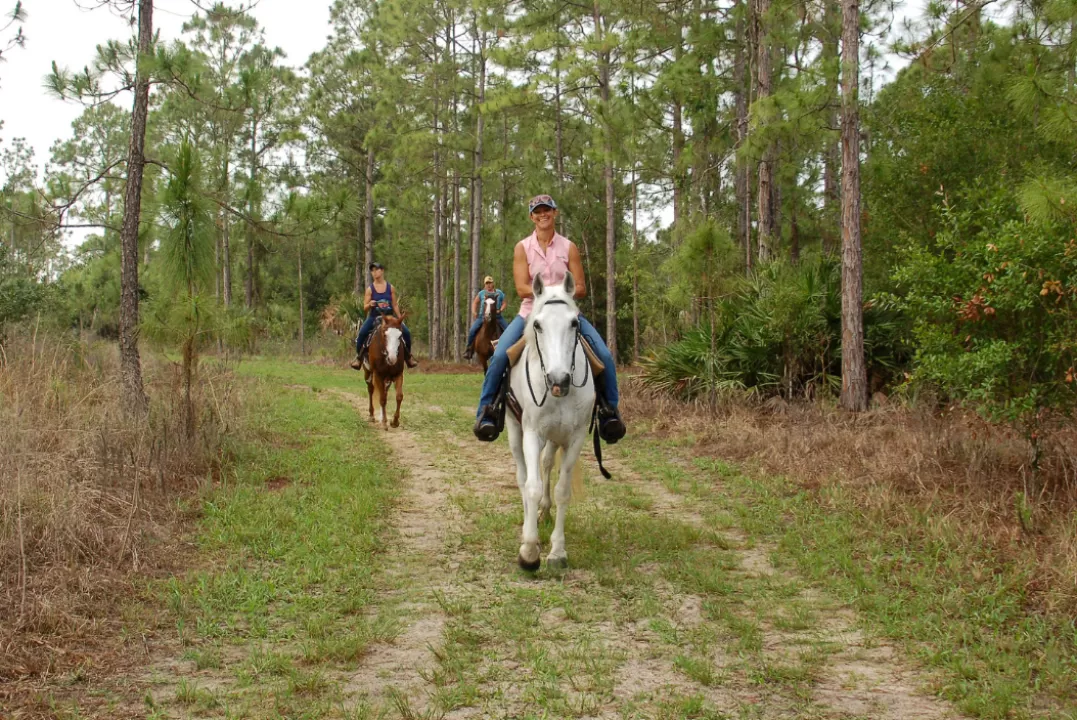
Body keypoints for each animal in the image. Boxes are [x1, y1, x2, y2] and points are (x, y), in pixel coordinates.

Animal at [506, 272, 594, 568]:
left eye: (574, 322)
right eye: (538, 325)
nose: (558, 381)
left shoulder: (575, 438)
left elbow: (562, 490)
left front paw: (557, 551)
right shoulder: (533, 433)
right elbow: (531, 486)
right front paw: (529, 551)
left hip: (555, 437)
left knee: (546, 465)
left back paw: (544, 512)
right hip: (515, 431)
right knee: (523, 478)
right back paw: (528, 522)